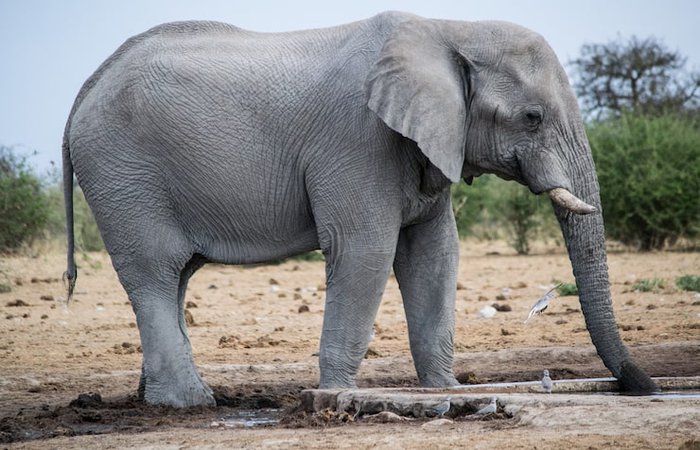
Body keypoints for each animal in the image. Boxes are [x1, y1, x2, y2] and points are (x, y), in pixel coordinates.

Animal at [62, 11, 657, 407]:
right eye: (532, 117)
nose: (643, 385)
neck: (450, 29)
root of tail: (84, 90)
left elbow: (435, 255)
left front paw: (443, 389)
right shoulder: (358, 141)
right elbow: (365, 250)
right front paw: (335, 395)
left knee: (177, 276)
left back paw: (155, 398)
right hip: (124, 174)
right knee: (155, 272)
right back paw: (189, 403)